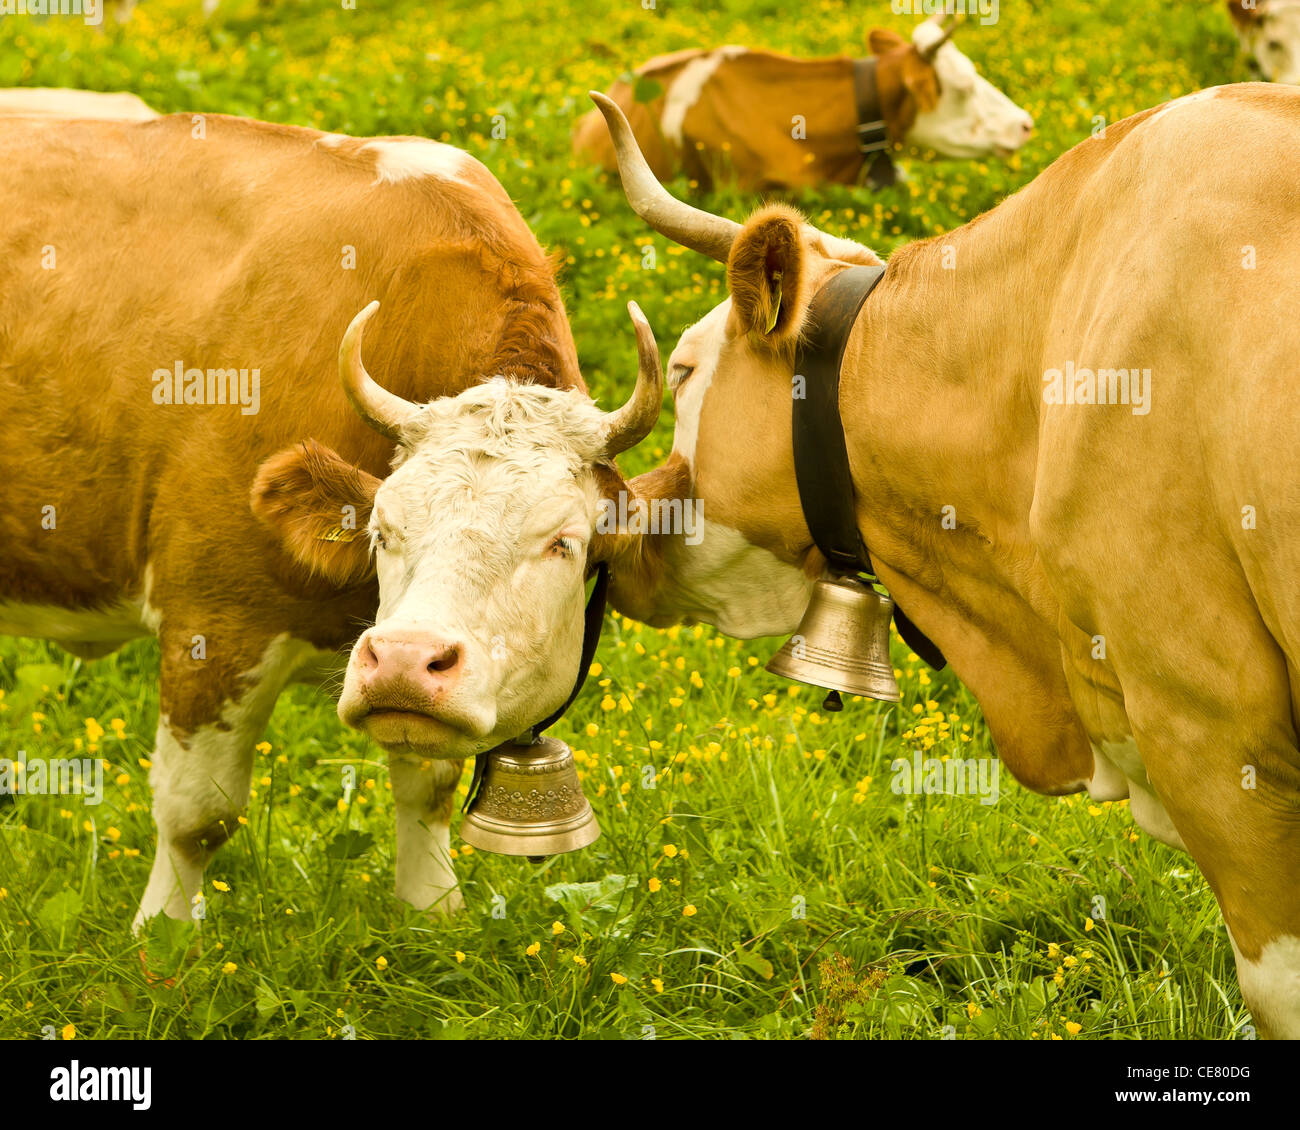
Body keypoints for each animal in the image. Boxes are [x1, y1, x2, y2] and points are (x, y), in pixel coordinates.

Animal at [0, 111, 660, 930]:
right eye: (383, 530)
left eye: (562, 544)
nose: (405, 660)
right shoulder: (211, 623)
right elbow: (195, 814)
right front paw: (163, 937)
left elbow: (427, 789)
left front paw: (433, 914)